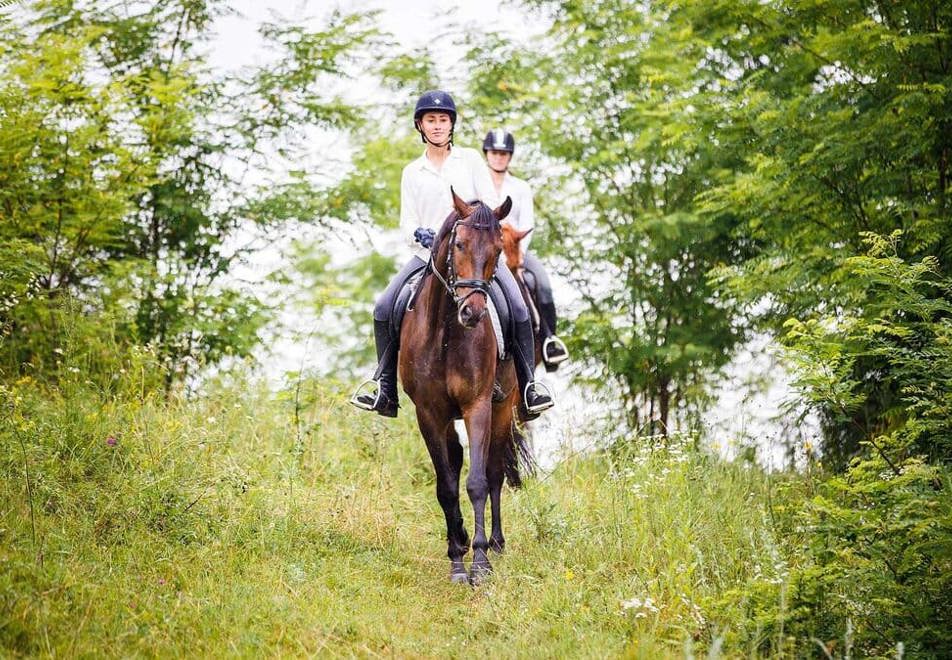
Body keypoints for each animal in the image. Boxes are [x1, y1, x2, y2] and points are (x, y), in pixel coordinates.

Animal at [402, 187, 532, 584]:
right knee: (456, 460)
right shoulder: (428, 413)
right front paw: (457, 560)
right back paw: (458, 537)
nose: (472, 313)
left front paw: (480, 562)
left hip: (503, 408)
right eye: (459, 244)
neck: (446, 334)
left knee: (494, 472)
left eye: (497, 250)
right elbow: (446, 485)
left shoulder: (478, 406)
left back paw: (497, 543)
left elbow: (477, 482)